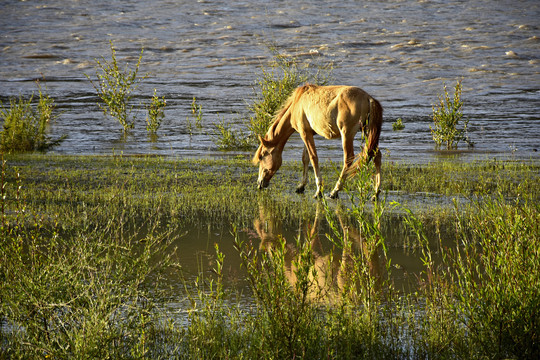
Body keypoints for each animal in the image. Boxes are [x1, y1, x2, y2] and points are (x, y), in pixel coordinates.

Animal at [254, 83, 384, 198]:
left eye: (261, 156)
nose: (259, 183)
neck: (297, 104)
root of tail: (368, 98)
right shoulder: (308, 133)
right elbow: (305, 158)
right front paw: (301, 186)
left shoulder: (304, 133)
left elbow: (313, 158)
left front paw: (318, 190)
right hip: (367, 132)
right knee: (377, 156)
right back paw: (376, 192)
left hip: (347, 134)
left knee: (348, 159)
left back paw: (334, 191)